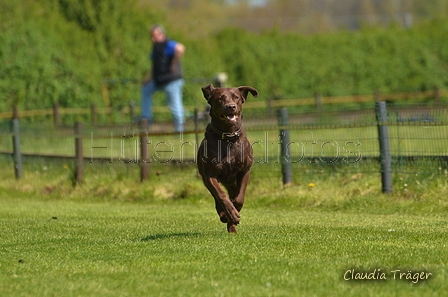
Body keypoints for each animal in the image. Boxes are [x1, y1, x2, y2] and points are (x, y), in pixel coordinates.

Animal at [197, 83, 258, 231]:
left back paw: (232, 227)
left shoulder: (244, 171)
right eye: (220, 98)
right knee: (217, 197)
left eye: (236, 97)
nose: (231, 106)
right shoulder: (210, 174)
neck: (228, 137)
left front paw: (234, 213)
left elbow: (239, 198)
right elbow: (220, 195)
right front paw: (229, 213)